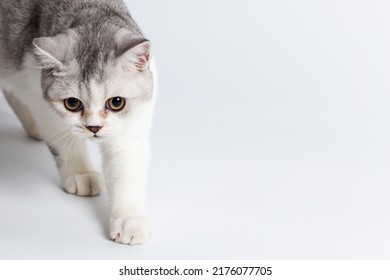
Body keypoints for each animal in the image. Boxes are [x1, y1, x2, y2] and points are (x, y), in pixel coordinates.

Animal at [0, 0, 155, 245]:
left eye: (117, 102)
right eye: (72, 103)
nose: (94, 127)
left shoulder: (131, 127)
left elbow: (126, 168)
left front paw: (130, 221)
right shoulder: (40, 99)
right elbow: (63, 140)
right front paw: (81, 174)